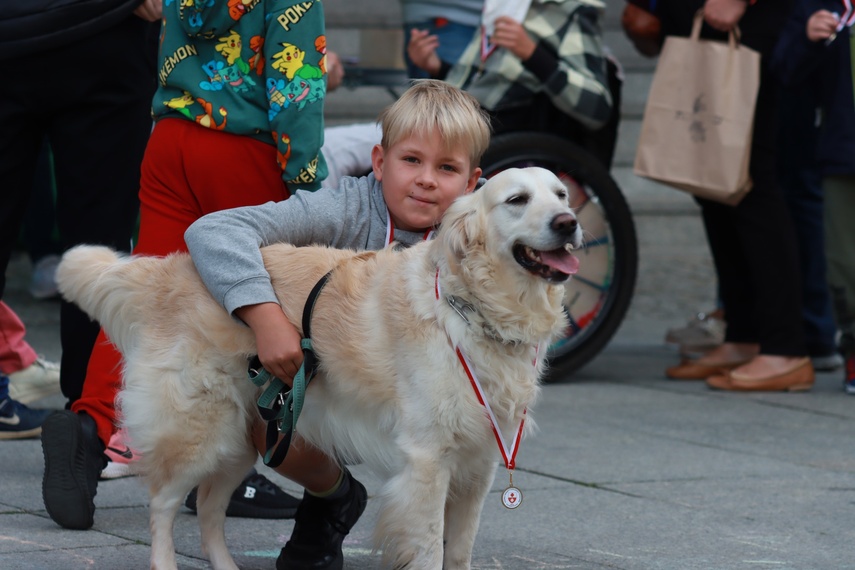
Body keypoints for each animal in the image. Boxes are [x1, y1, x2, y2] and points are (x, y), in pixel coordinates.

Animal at [56, 165, 584, 568]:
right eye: (516, 199)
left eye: (561, 194)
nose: (568, 222)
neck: (473, 309)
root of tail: (171, 268)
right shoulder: (429, 460)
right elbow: (431, 550)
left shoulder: (480, 463)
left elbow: (459, 551)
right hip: (201, 431)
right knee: (163, 505)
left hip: (249, 435)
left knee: (208, 508)